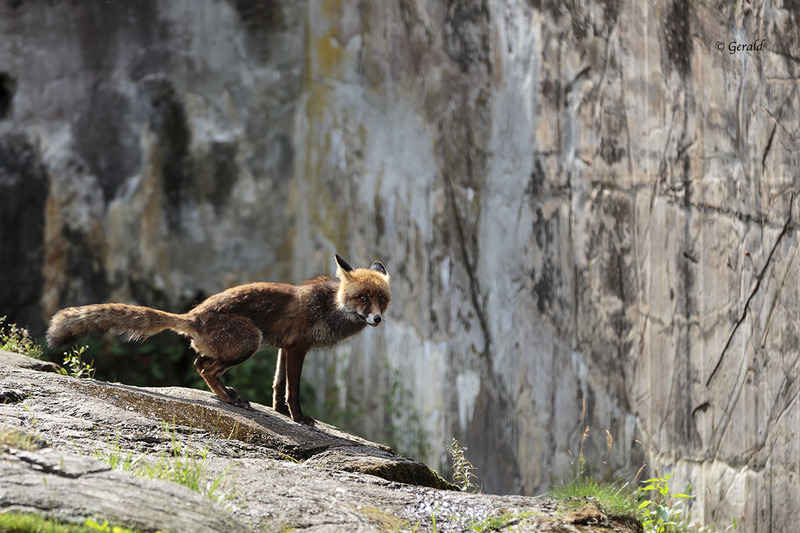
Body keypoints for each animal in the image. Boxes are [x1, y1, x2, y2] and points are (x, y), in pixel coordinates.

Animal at [46, 254, 390, 425]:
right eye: (362, 298)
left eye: (382, 300)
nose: (376, 319)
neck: (332, 307)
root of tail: (192, 316)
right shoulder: (297, 348)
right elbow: (293, 390)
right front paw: (298, 417)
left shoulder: (284, 347)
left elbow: (277, 385)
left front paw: (279, 411)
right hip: (250, 341)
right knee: (204, 368)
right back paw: (228, 398)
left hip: (241, 345)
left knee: (200, 362)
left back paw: (228, 394)